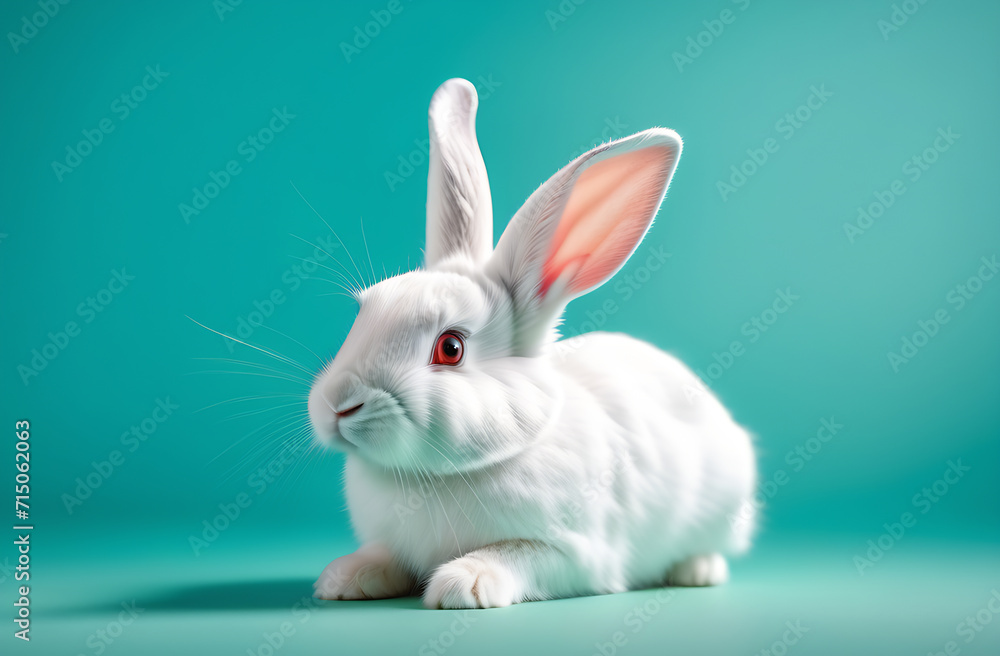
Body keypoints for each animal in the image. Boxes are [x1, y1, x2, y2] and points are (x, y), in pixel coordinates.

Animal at [308, 78, 757, 609]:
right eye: (364, 312)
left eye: (450, 348)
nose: (338, 405)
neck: (435, 476)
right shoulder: (392, 542)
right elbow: (383, 556)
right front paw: (343, 578)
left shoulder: (577, 555)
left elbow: (518, 555)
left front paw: (465, 583)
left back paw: (696, 569)